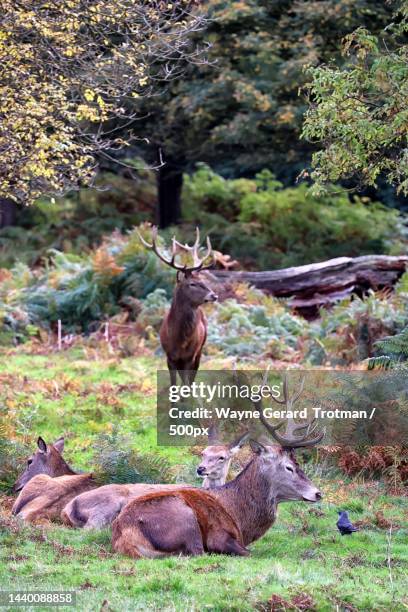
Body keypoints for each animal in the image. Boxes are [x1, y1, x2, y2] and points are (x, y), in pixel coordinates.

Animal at [61, 430, 247, 532]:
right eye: (203, 453)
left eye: (222, 457)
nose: (201, 469)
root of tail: (68, 507)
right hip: (106, 505)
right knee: (90, 528)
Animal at [112, 380, 326, 560]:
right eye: (289, 467)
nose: (318, 493)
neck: (241, 519)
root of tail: (125, 534)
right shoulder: (220, 536)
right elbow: (251, 553)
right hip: (186, 519)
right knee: (196, 552)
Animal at [138, 227, 217, 384]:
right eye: (192, 283)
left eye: (203, 281)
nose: (214, 295)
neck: (179, 341)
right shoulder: (169, 357)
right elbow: (173, 383)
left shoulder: (189, 356)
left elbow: (186, 382)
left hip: (200, 349)